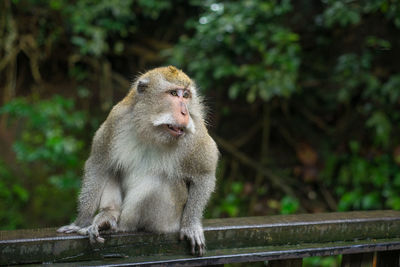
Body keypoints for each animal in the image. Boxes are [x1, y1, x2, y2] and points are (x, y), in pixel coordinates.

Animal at [57, 66, 219, 256]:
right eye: (173, 93)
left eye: (186, 96)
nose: (185, 112)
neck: (150, 128)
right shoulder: (117, 118)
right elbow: (99, 164)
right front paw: (81, 222)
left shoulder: (196, 133)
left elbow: (204, 174)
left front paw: (191, 225)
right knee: (112, 168)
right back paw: (108, 216)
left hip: (167, 220)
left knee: (156, 183)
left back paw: (121, 225)